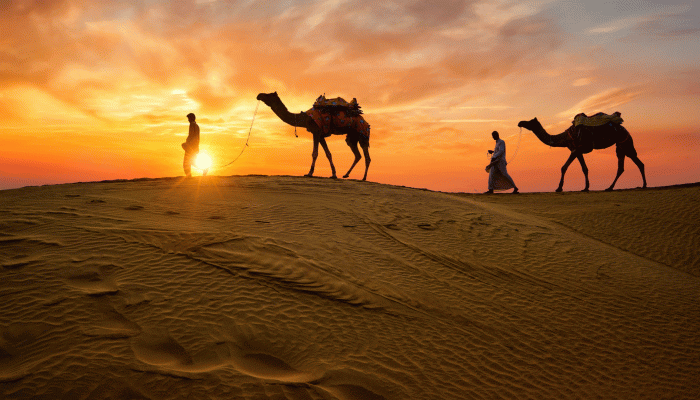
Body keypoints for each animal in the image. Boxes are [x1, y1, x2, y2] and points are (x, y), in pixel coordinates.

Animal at [516, 117, 648, 192]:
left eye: (530, 122)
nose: (520, 122)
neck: (565, 137)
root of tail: (627, 131)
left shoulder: (576, 149)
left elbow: (563, 167)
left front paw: (559, 188)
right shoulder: (578, 151)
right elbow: (584, 168)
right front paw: (585, 187)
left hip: (624, 143)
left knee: (629, 165)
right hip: (621, 146)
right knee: (632, 165)